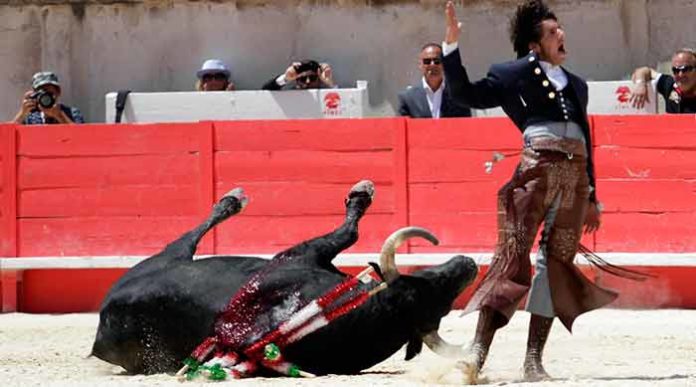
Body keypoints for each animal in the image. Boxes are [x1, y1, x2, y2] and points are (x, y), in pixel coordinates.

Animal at [92, 181, 478, 376]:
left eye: (441, 305)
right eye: (422, 281)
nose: (469, 262)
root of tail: (100, 330)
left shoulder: (297, 256)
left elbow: (348, 233)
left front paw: (361, 193)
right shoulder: (303, 254)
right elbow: (347, 233)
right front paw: (361, 194)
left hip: (166, 258)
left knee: (193, 233)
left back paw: (232, 201)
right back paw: (233, 200)